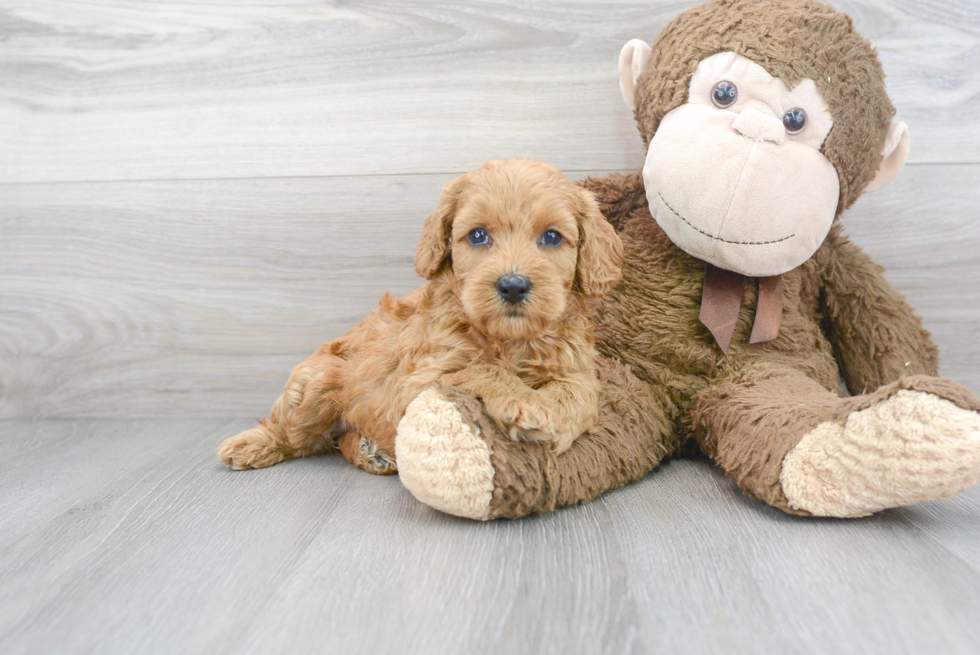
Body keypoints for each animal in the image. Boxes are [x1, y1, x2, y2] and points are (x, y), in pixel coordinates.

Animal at [218, 159, 624, 476]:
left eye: (552, 237)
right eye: (478, 236)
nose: (512, 286)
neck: (507, 340)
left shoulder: (576, 370)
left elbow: (577, 396)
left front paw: (552, 420)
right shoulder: (418, 381)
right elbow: (480, 369)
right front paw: (524, 403)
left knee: (339, 440)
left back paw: (371, 452)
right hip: (317, 382)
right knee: (296, 434)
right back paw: (251, 444)